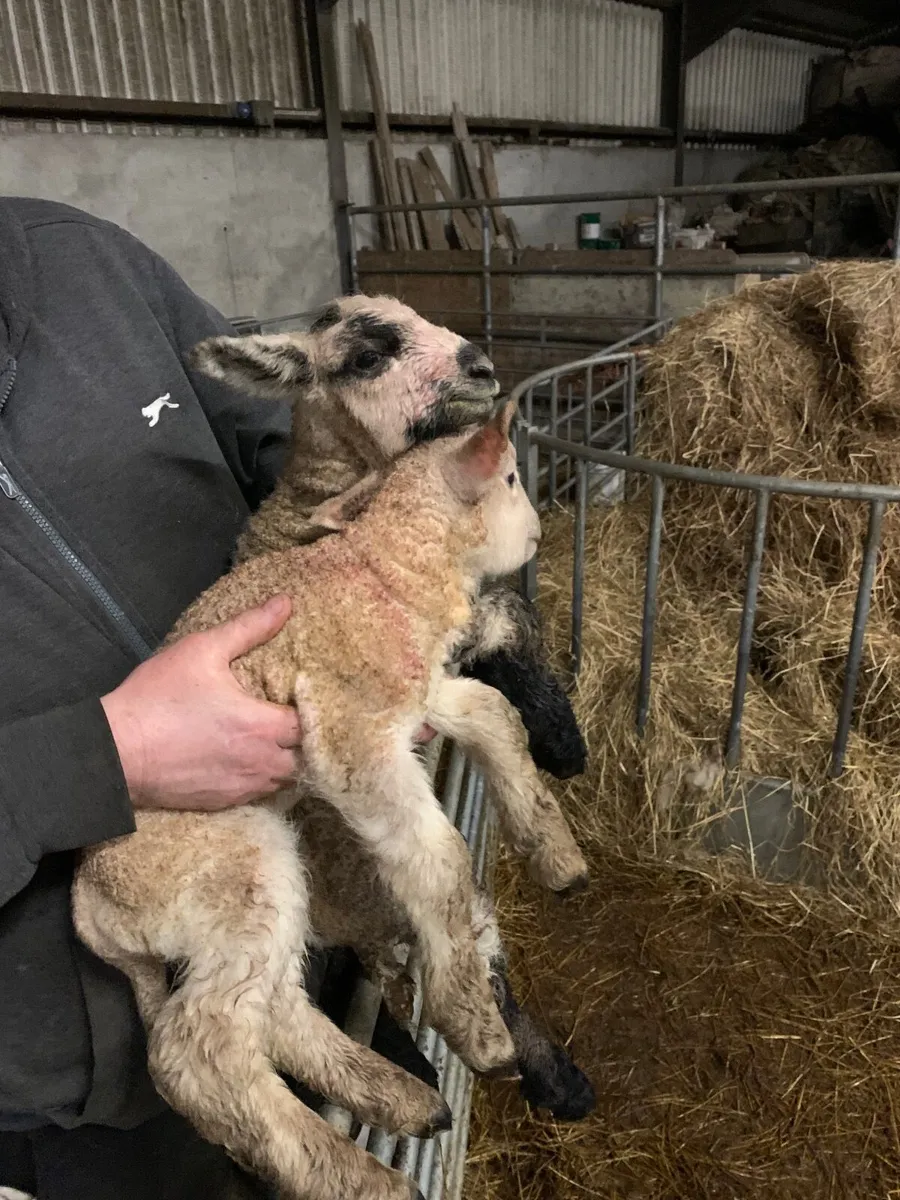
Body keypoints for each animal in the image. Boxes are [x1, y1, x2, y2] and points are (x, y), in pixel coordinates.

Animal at [72, 348, 590, 1200]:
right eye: (513, 477)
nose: (543, 531)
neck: (387, 568)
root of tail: (89, 911)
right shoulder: (352, 740)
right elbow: (439, 859)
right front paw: (473, 1019)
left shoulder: (421, 697)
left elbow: (494, 715)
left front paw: (554, 851)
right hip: (228, 866)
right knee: (201, 1053)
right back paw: (356, 1174)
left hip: (257, 880)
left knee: (274, 1007)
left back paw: (401, 1098)